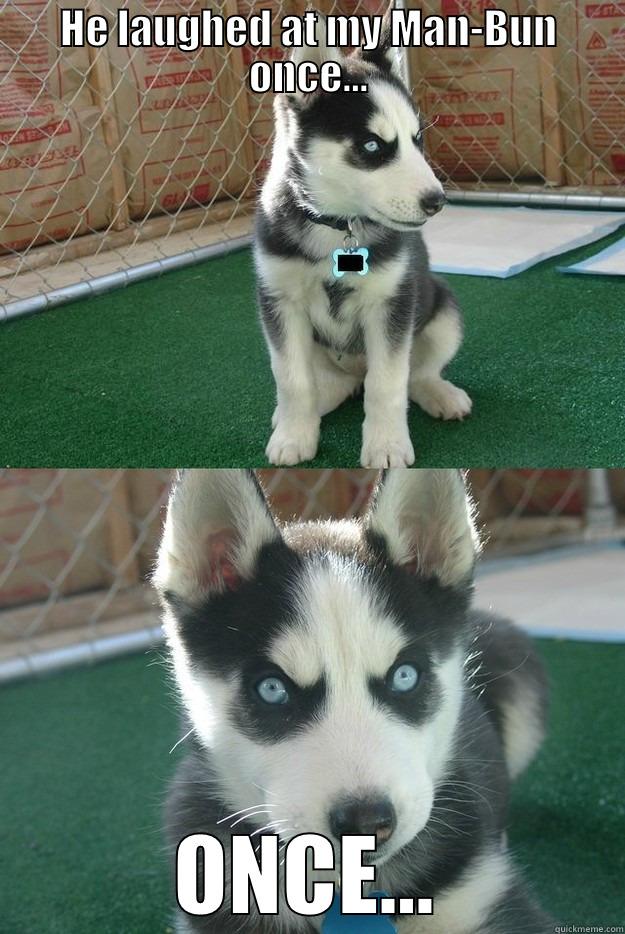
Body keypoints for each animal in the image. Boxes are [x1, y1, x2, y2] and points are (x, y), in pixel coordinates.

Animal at [256, 14, 470, 468]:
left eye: (417, 140)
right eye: (372, 145)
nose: (437, 202)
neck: (338, 225)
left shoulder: (391, 305)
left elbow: (387, 383)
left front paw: (386, 445)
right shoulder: (280, 302)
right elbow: (292, 379)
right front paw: (294, 435)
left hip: (443, 311)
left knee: (414, 374)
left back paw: (439, 393)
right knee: (329, 383)